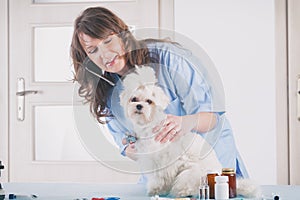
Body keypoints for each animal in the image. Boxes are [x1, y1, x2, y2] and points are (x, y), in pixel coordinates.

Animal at [119, 66, 223, 197]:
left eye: (149, 101)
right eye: (134, 99)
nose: (138, 106)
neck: (148, 125)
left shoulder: (160, 160)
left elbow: (158, 177)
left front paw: (155, 189)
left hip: (191, 173)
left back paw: (183, 192)